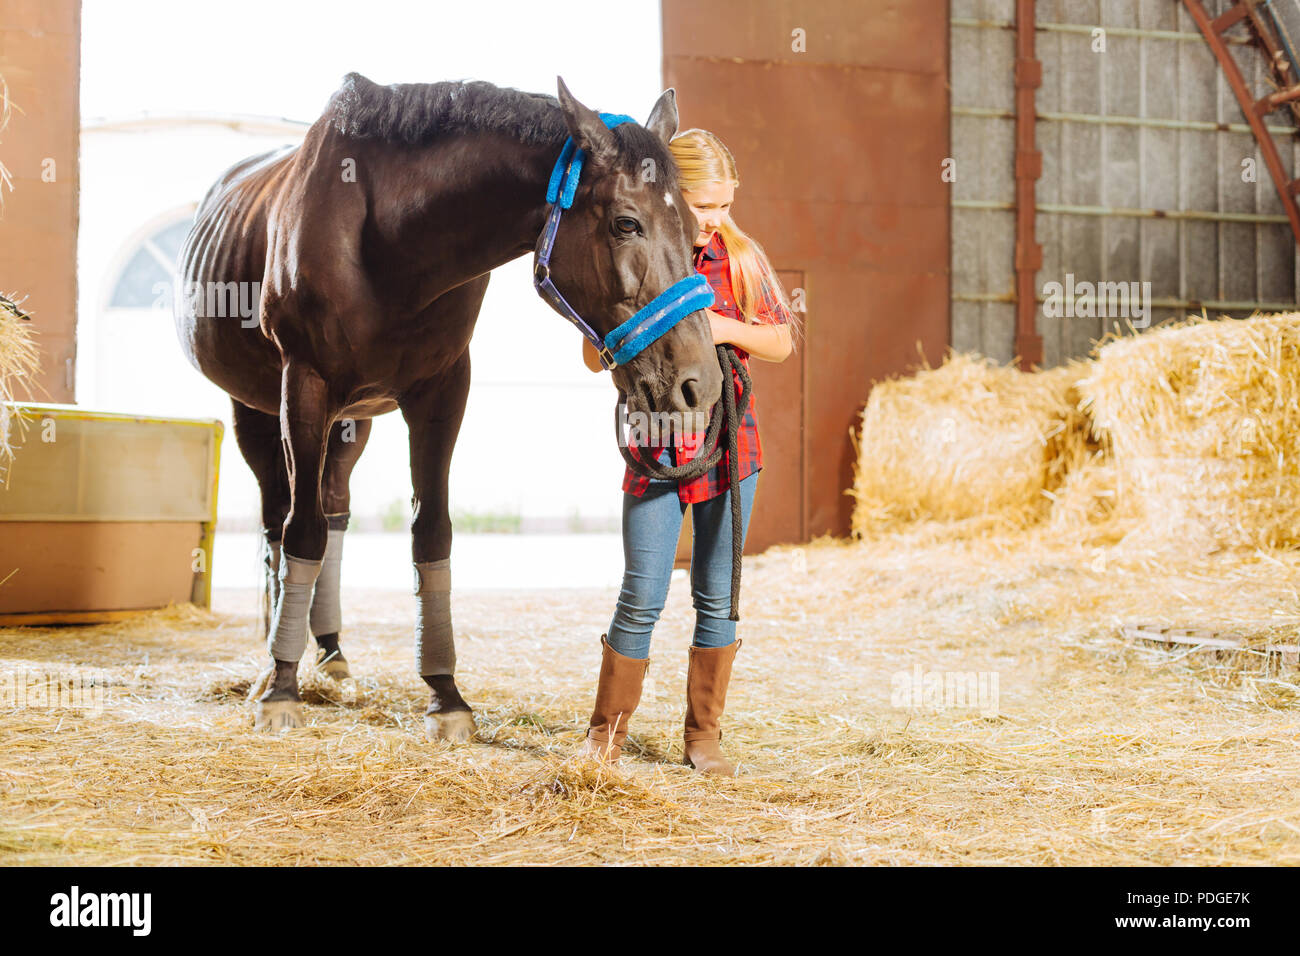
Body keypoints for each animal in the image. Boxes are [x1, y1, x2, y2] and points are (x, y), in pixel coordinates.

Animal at [175, 74, 722, 738]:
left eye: (693, 226)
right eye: (625, 223)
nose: (701, 386)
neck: (385, 237)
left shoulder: (441, 392)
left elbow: (430, 532)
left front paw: (445, 693)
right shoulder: (302, 386)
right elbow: (299, 529)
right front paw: (280, 688)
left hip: (350, 422)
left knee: (334, 510)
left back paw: (330, 652)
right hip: (255, 410)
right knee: (280, 520)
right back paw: (279, 657)